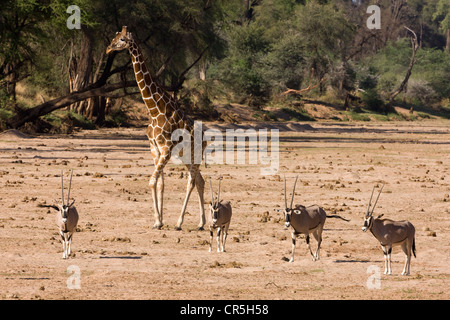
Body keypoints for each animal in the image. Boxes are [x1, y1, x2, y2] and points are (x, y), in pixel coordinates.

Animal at [106, 25, 207, 230]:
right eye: (115, 36)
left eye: (122, 39)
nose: (108, 49)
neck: (154, 109)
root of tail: (207, 138)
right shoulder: (154, 148)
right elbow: (160, 184)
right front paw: (158, 221)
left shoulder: (166, 148)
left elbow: (152, 181)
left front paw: (158, 221)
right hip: (186, 156)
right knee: (200, 181)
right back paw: (201, 223)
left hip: (195, 155)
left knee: (192, 182)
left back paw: (179, 222)